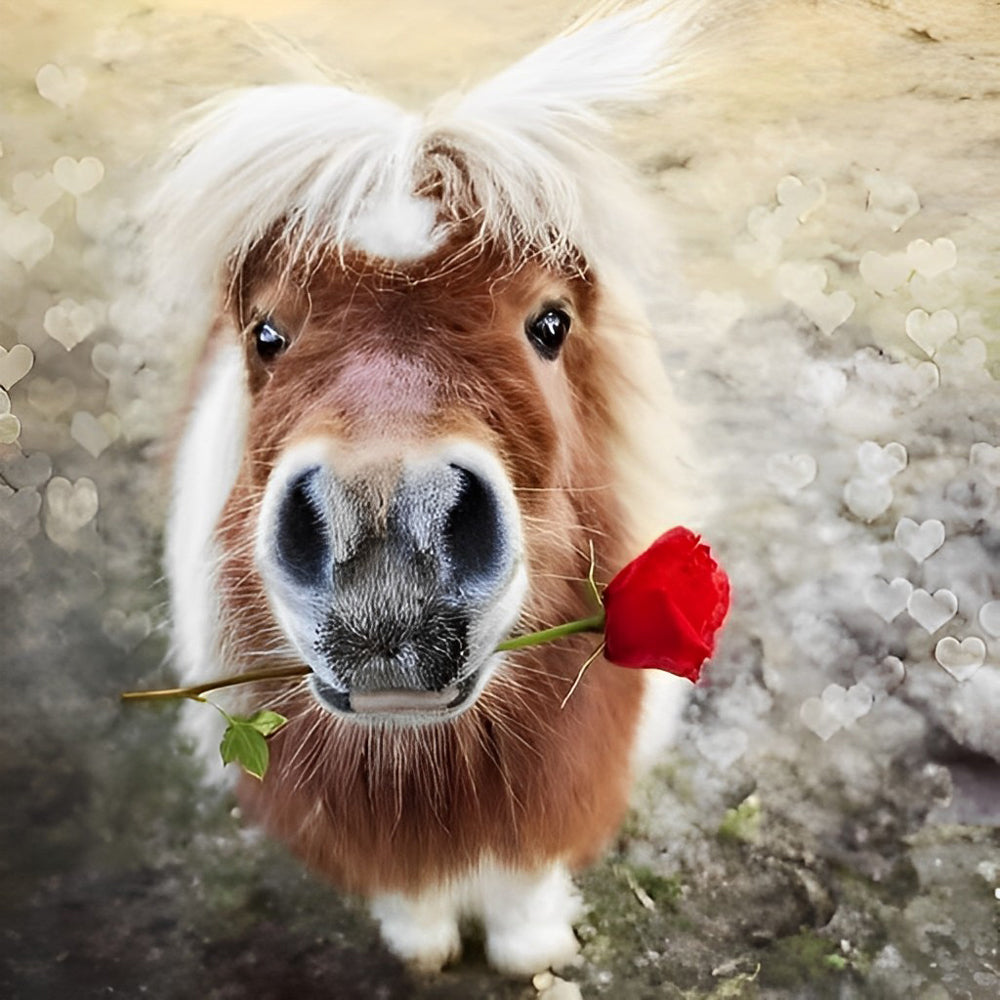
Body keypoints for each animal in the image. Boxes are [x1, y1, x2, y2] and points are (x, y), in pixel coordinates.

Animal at [155, 0, 706, 976]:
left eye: (551, 324)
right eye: (267, 334)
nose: (382, 533)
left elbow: (525, 884)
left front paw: (530, 949)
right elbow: (409, 890)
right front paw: (423, 946)